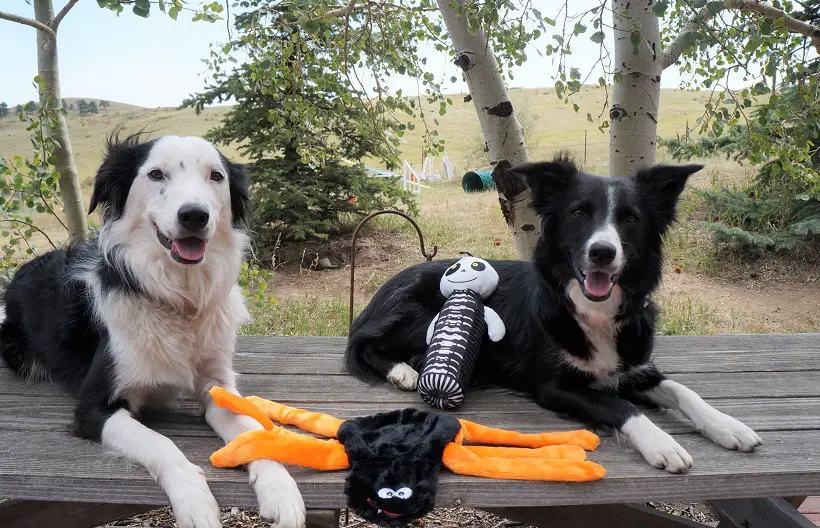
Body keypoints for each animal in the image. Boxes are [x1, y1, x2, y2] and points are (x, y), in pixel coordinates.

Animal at [0, 132, 308, 528]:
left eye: (216, 176)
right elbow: (162, 444)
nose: (194, 215)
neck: (179, 300)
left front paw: (280, 488)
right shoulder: (94, 408)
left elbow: (251, 429)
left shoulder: (217, 385)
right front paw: (195, 503)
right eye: (156, 174)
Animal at [344, 153, 764, 474]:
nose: (602, 252)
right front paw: (662, 443)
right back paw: (402, 371)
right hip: (418, 316)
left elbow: (683, 391)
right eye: (578, 213)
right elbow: (620, 405)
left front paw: (727, 426)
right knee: (365, 344)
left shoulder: (633, 368)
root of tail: (383, 290)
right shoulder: (555, 387)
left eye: (631, 218)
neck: (593, 312)